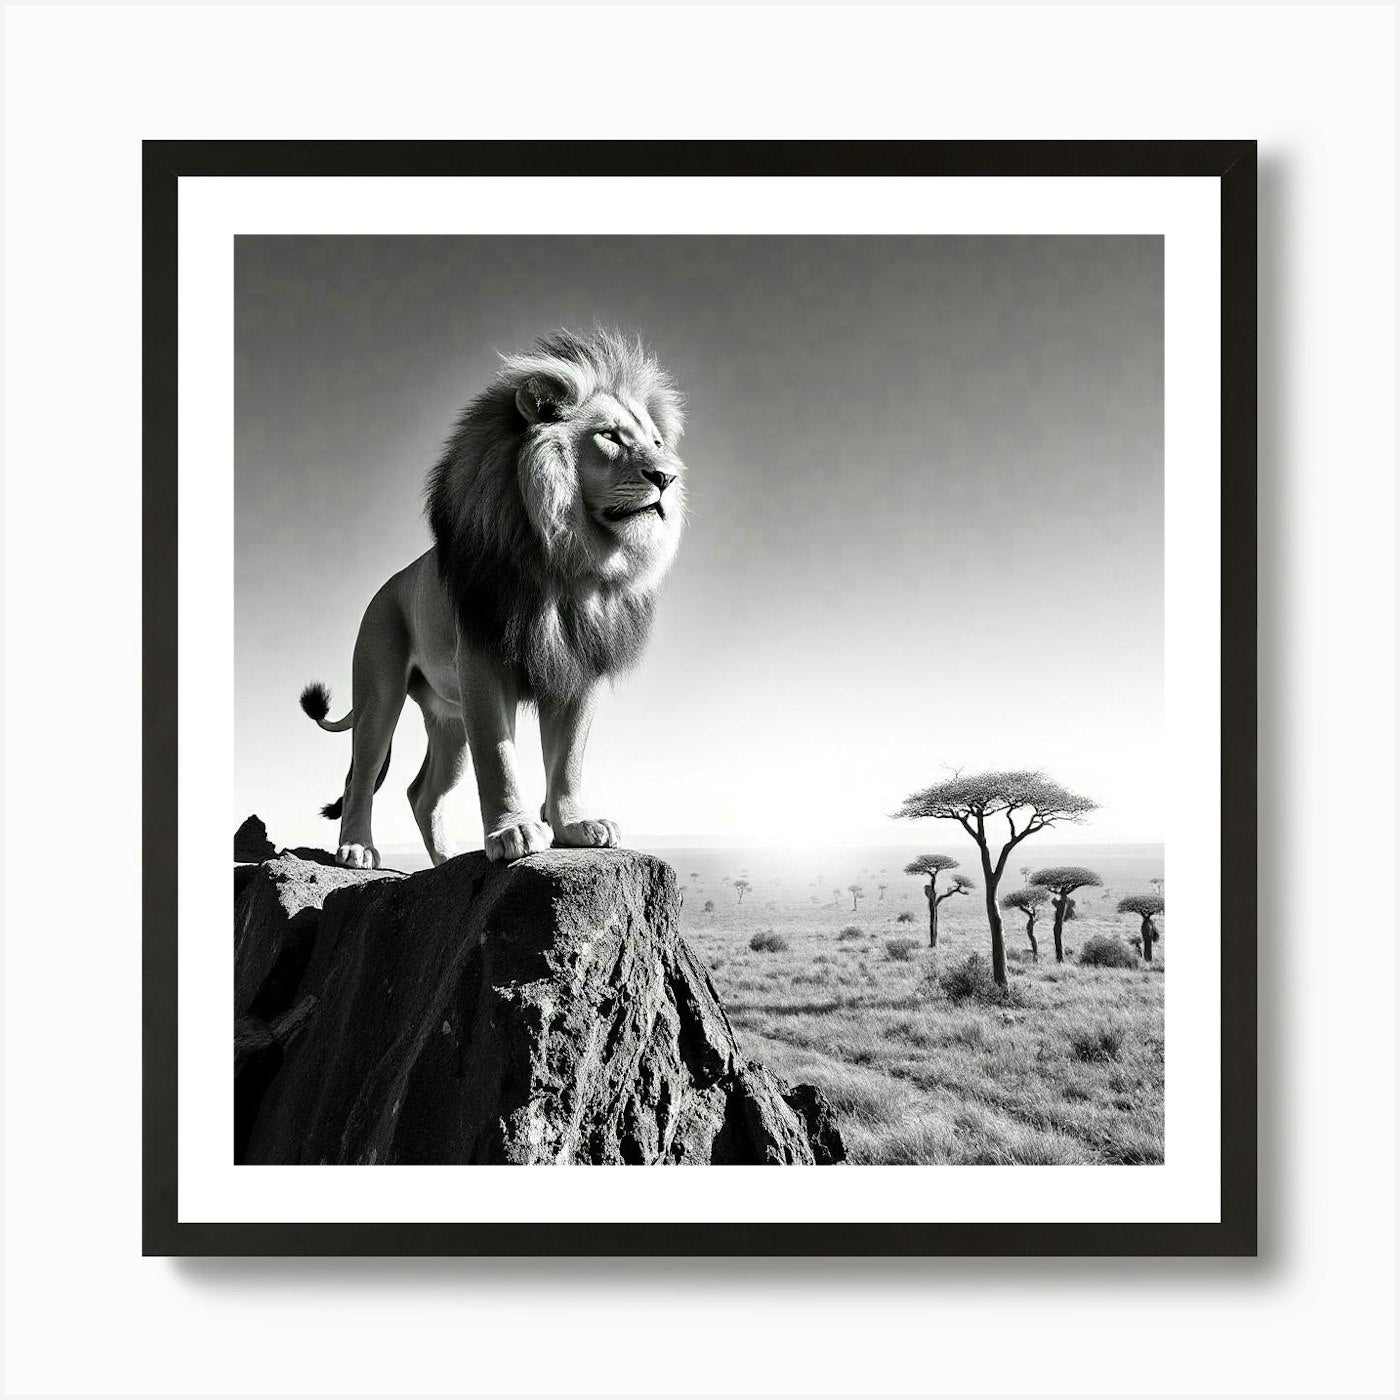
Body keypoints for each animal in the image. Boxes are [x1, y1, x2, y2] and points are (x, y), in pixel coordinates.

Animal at [299, 328, 686, 868]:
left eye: (656, 443)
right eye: (610, 436)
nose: (667, 477)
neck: (566, 563)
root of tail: (385, 589)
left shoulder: (578, 668)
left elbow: (568, 759)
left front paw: (574, 826)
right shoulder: (483, 663)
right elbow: (499, 759)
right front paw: (514, 832)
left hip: (450, 720)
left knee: (422, 794)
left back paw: (445, 861)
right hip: (380, 693)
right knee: (363, 777)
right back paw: (357, 848)